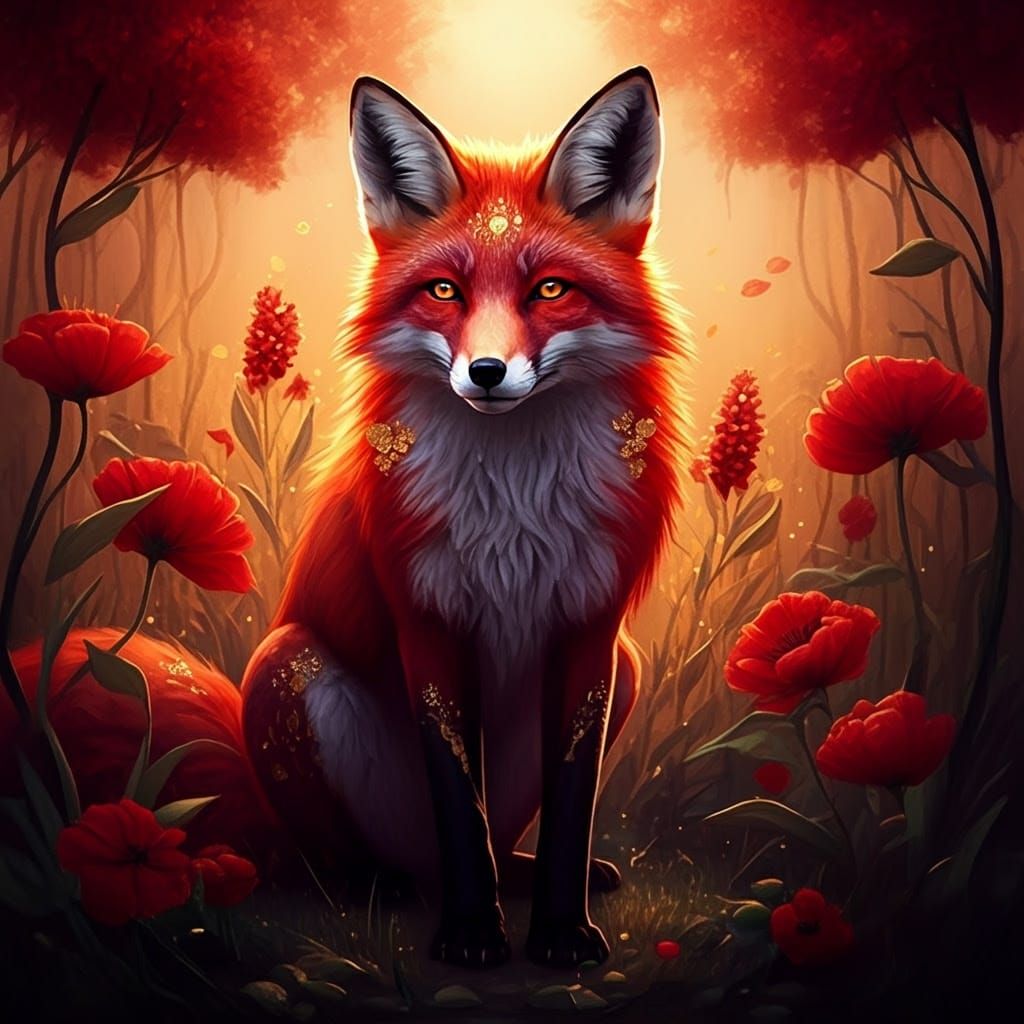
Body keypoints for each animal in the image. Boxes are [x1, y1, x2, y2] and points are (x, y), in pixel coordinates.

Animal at [2, 68, 690, 969]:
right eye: (444, 291)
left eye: (549, 289)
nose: (487, 371)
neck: (515, 512)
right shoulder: (427, 622)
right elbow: (456, 798)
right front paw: (471, 936)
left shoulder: (591, 633)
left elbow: (571, 809)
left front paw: (561, 934)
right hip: (286, 667)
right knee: (356, 861)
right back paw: (382, 886)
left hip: (628, 667)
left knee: (495, 838)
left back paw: (513, 872)